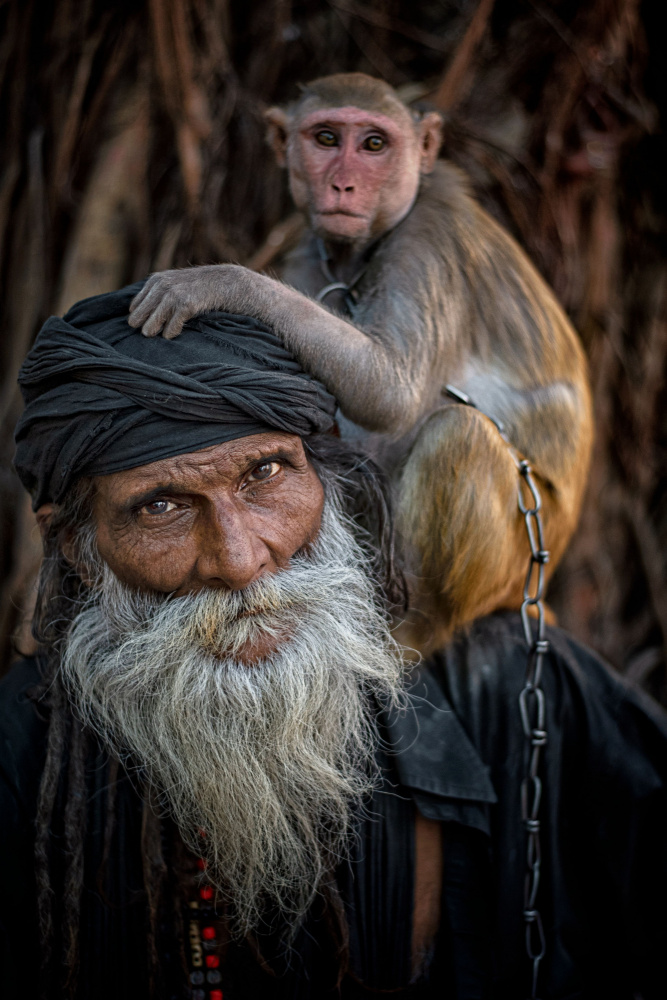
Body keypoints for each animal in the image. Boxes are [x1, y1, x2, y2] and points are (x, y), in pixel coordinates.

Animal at [129, 74, 596, 652]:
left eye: (375, 144)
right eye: (326, 138)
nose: (343, 185)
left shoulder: (427, 241)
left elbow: (390, 392)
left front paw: (219, 282)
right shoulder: (310, 254)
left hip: (520, 560)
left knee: (456, 434)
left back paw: (413, 629)